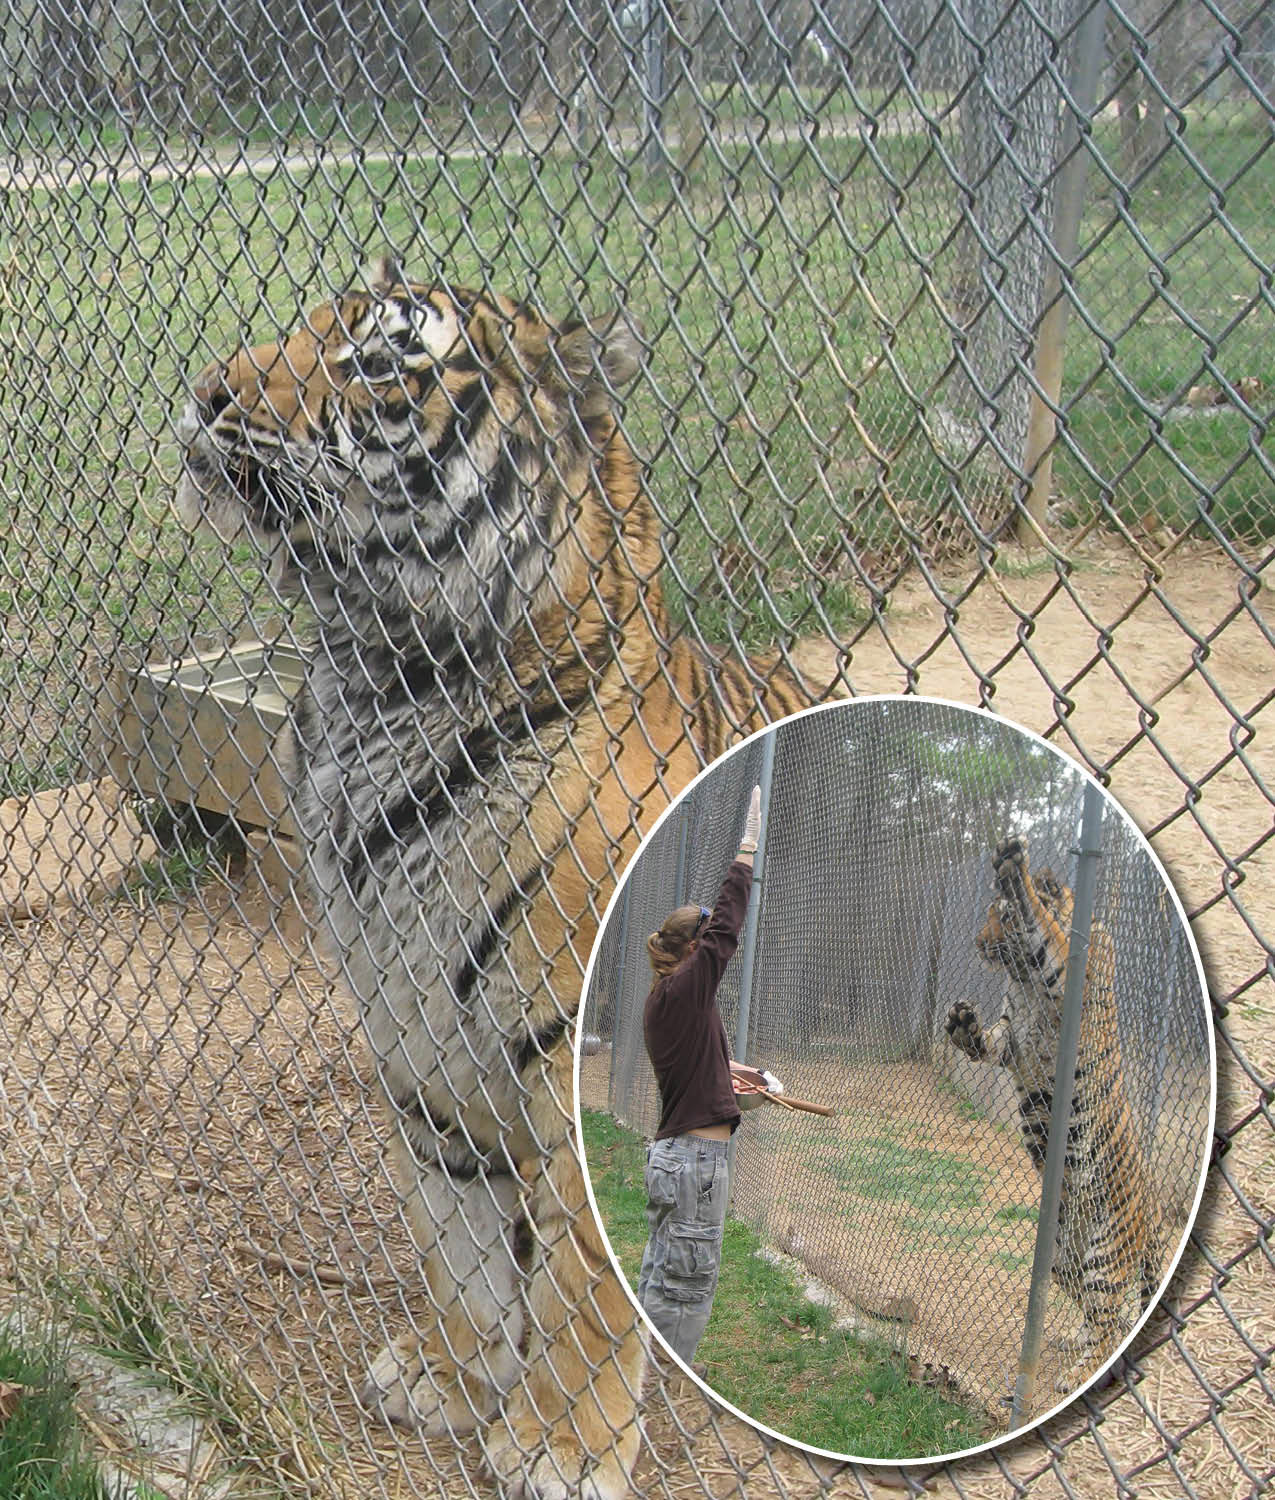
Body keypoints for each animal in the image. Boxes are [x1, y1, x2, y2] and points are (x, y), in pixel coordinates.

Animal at [171, 264, 846, 1500]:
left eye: (378, 362)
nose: (207, 393)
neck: (381, 676)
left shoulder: (560, 1044)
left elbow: (581, 1262)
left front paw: (561, 1442)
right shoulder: (411, 1031)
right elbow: (458, 1230)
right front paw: (454, 1371)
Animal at [942, 834, 1164, 1380]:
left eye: (1000, 915)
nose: (978, 943)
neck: (1022, 977)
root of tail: (1153, 1206)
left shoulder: (1067, 978)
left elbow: (1043, 924)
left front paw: (1014, 866)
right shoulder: (1011, 1041)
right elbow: (987, 1041)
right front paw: (961, 1023)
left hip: (1110, 1250)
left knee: (1107, 1324)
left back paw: (1077, 1376)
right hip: (1067, 1259)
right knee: (1099, 1317)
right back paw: (1070, 1343)